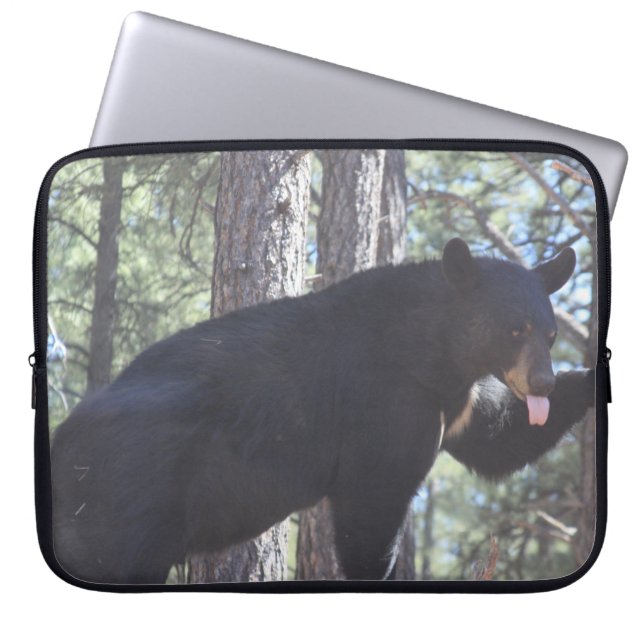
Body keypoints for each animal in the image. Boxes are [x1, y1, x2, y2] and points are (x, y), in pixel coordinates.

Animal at [50, 238, 594, 584]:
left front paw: (588, 379)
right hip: (123, 495)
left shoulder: (457, 402)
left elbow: (498, 441)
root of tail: (61, 440)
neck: (437, 354)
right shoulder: (385, 400)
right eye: (514, 329)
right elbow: (373, 501)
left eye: (550, 335)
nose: (542, 382)